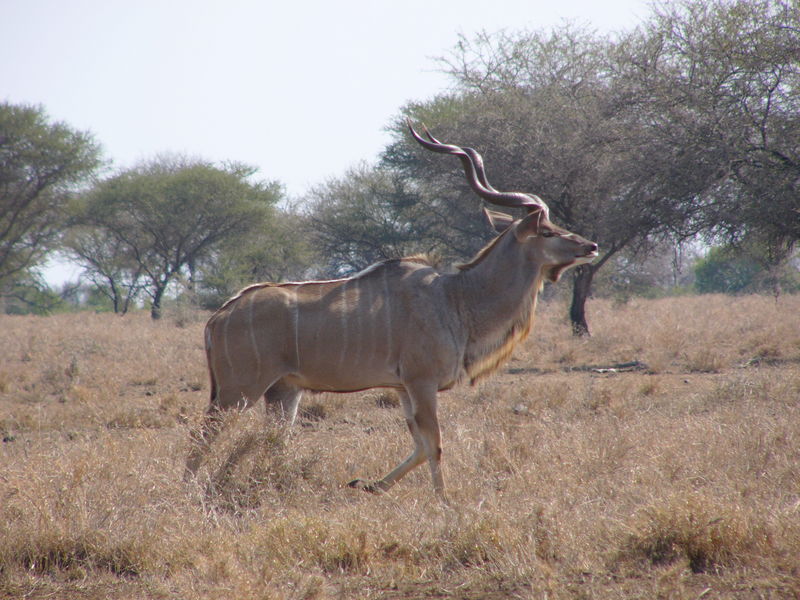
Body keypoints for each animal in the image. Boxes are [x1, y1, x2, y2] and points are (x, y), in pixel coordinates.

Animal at [188, 120, 596, 496]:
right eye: (547, 231)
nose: (590, 246)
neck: (456, 298)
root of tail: (218, 318)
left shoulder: (401, 387)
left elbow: (419, 445)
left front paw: (367, 485)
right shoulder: (421, 382)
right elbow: (435, 445)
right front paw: (445, 503)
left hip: (283, 392)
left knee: (272, 440)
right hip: (239, 390)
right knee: (204, 435)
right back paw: (192, 490)